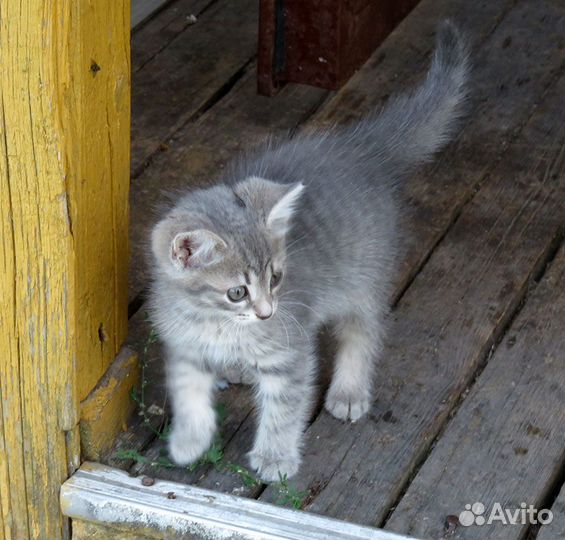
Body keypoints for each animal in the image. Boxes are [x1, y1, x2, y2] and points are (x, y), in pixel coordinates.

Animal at [147, 23, 468, 484]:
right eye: (237, 292)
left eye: (276, 278)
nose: (267, 313)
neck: (214, 323)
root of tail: (358, 151)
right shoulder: (184, 347)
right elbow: (188, 393)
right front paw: (190, 440)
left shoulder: (290, 351)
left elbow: (284, 407)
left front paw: (275, 458)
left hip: (362, 279)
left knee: (364, 329)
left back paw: (349, 390)